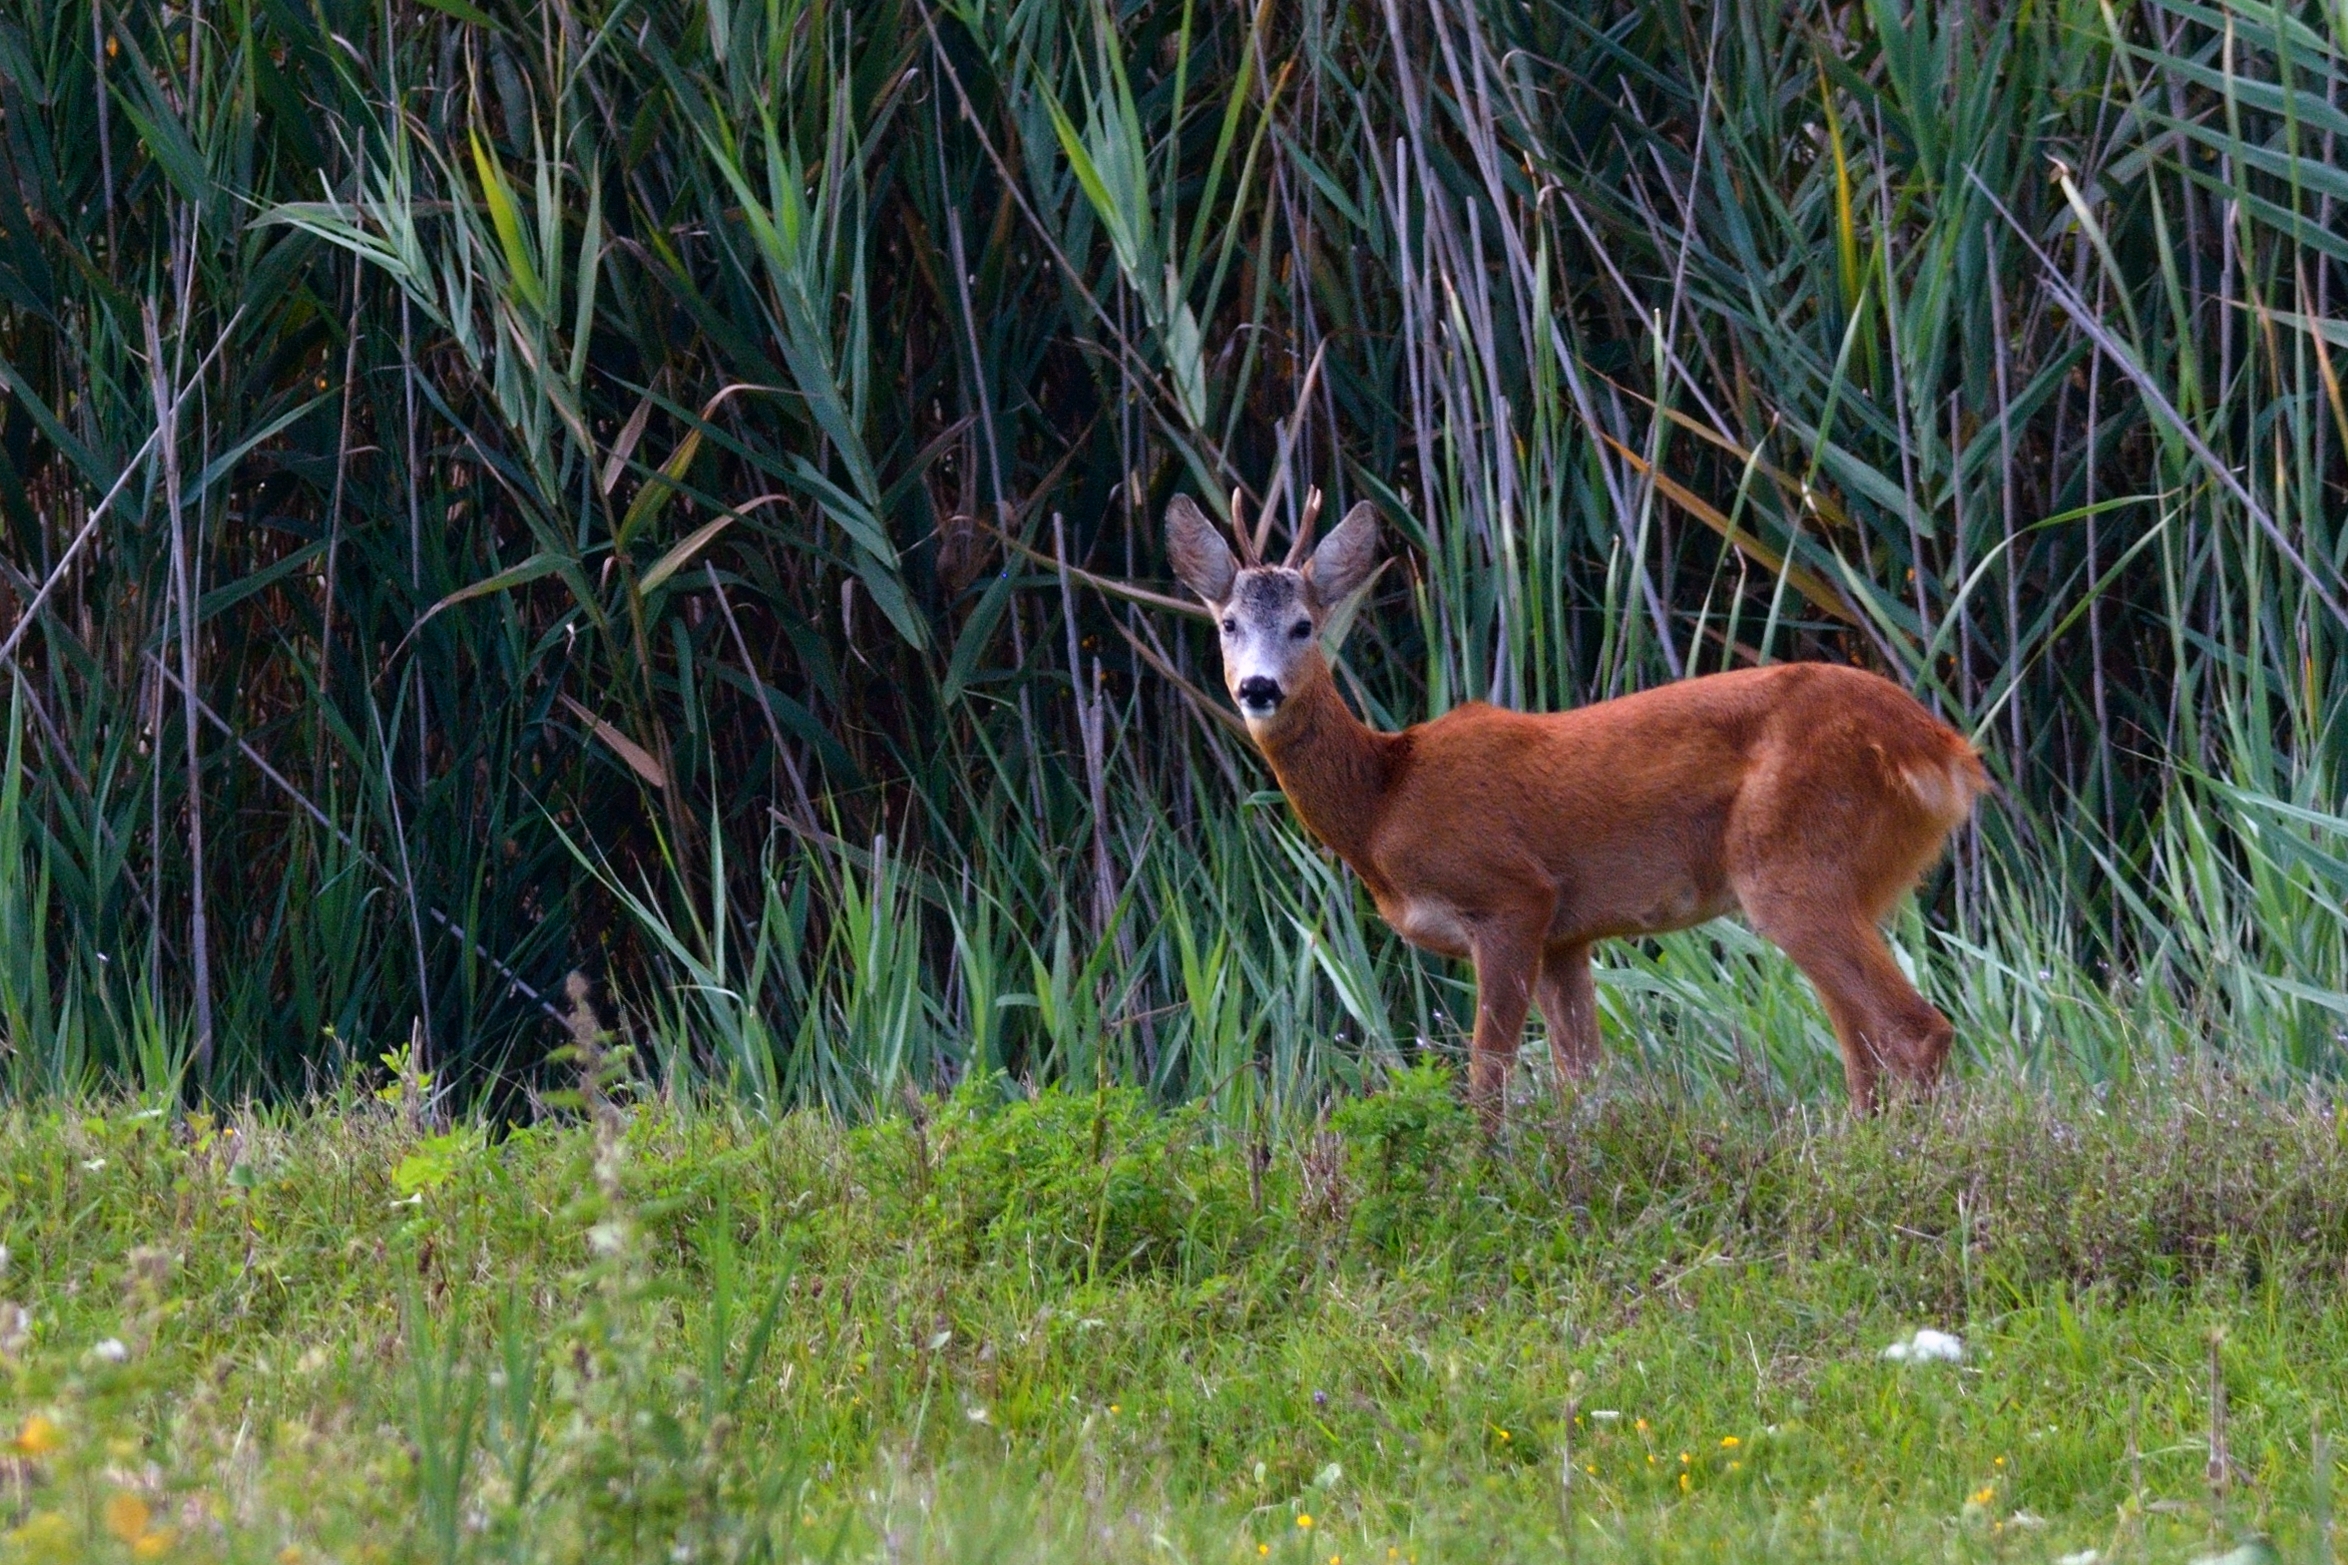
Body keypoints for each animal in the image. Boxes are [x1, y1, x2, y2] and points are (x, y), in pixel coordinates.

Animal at [1163, 490, 1989, 1127]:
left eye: (1304, 624)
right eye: (1228, 623)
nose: (1258, 687)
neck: (1383, 799)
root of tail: (1944, 750)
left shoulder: (1512, 895)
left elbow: (1488, 1076)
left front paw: (1483, 1177)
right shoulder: (1568, 935)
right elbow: (1584, 1079)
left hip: (1791, 861)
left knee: (1914, 1030)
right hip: (1856, 880)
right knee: (1862, 1046)